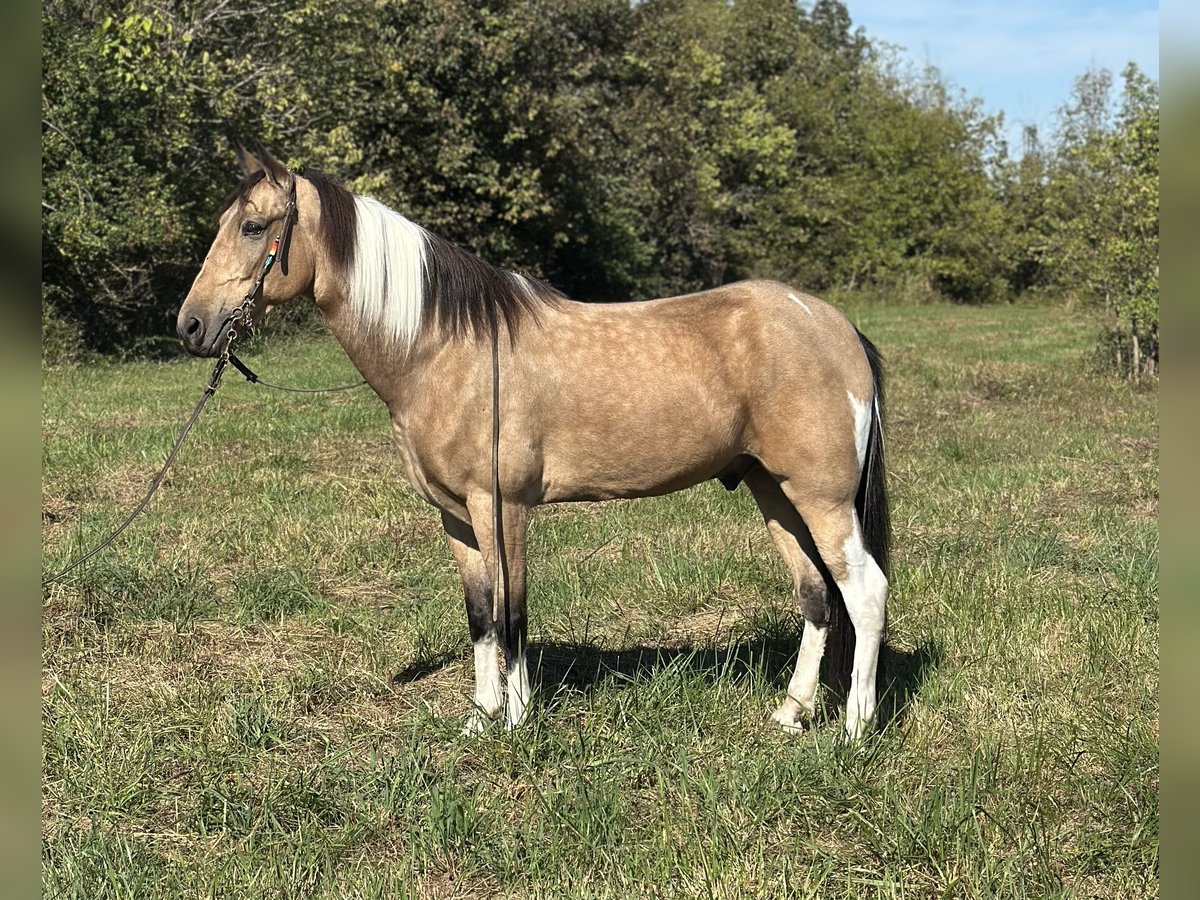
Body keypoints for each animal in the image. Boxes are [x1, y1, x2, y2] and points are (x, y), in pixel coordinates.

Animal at [177, 146, 891, 740]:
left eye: (252, 227)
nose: (189, 325)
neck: (444, 350)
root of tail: (835, 326)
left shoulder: (504, 507)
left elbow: (511, 613)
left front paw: (517, 721)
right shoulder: (457, 519)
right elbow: (480, 615)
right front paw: (479, 719)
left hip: (822, 499)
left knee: (864, 591)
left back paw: (854, 730)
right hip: (774, 491)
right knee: (816, 596)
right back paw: (790, 715)